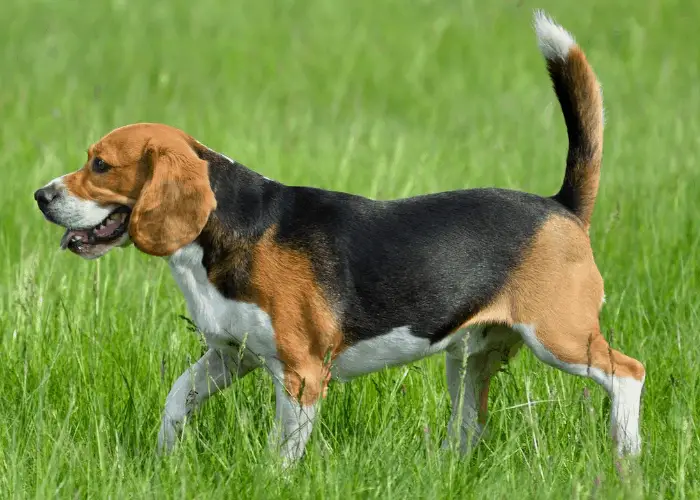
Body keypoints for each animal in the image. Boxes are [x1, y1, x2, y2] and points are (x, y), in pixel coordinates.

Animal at [32, 12, 644, 464]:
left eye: (101, 165)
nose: (40, 195)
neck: (220, 234)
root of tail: (561, 206)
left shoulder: (302, 375)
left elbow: (282, 452)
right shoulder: (230, 355)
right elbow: (176, 398)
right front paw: (165, 460)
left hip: (559, 337)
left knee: (628, 375)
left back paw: (627, 456)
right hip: (472, 359)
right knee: (470, 428)